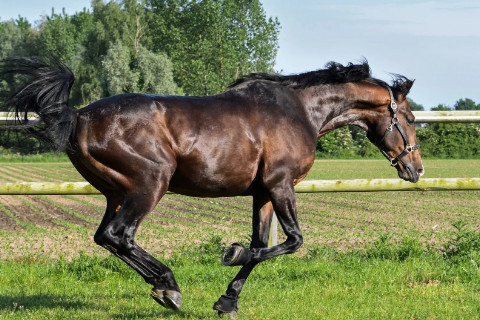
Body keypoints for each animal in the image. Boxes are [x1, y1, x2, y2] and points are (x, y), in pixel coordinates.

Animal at [0, 57, 424, 318]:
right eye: (409, 117)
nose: (415, 169)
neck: (300, 111)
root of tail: (78, 116)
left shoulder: (262, 192)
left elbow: (261, 245)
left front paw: (227, 301)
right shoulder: (281, 184)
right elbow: (291, 241)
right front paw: (230, 253)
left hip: (115, 193)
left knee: (106, 237)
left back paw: (164, 286)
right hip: (150, 184)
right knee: (120, 235)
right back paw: (168, 287)